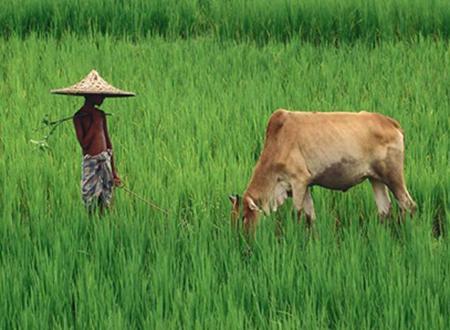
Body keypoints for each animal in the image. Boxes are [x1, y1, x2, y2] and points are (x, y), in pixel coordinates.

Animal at [230, 110, 416, 235]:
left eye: (243, 217)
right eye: (233, 218)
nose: (242, 240)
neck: (277, 141)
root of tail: (391, 123)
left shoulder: (298, 182)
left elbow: (297, 214)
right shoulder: (304, 186)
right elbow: (310, 217)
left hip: (393, 176)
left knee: (408, 205)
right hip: (375, 178)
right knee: (384, 209)